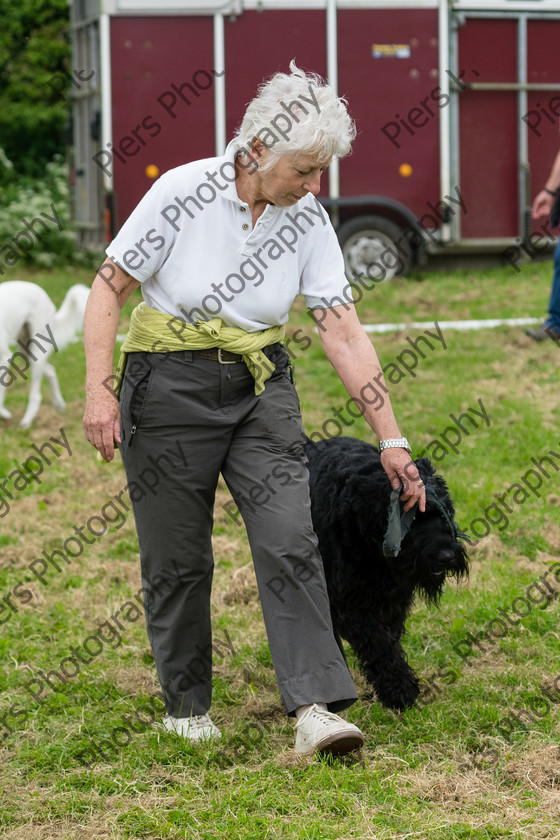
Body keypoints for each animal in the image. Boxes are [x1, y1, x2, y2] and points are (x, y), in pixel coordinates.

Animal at [306, 436, 468, 712]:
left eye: (445, 510)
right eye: (412, 518)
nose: (447, 556)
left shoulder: (395, 599)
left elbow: (389, 639)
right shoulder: (352, 604)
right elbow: (378, 644)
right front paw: (401, 690)